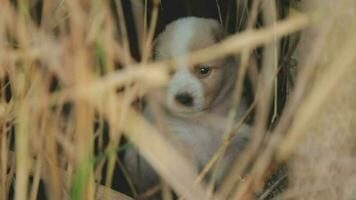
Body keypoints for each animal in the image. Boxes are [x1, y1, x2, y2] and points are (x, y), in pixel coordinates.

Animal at [124, 16, 250, 195]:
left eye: (203, 70)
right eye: (169, 72)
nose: (183, 98)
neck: (203, 120)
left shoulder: (233, 138)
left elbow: (230, 169)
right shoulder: (179, 145)